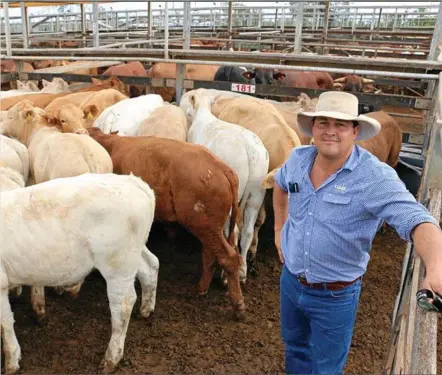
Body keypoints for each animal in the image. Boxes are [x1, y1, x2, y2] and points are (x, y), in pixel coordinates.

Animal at [0, 173, 159, 374]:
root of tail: (134, 181)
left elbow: (5, 323)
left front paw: (11, 363)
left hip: (117, 262)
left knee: (123, 304)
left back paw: (111, 359)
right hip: (134, 253)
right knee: (151, 266)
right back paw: (146, 310)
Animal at [86, 129, 245, 318]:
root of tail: (223, 168)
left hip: (205, 226)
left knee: (228, 257)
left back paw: (237, 303)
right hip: (211, 227)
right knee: (213, 254)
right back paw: (202, 288)